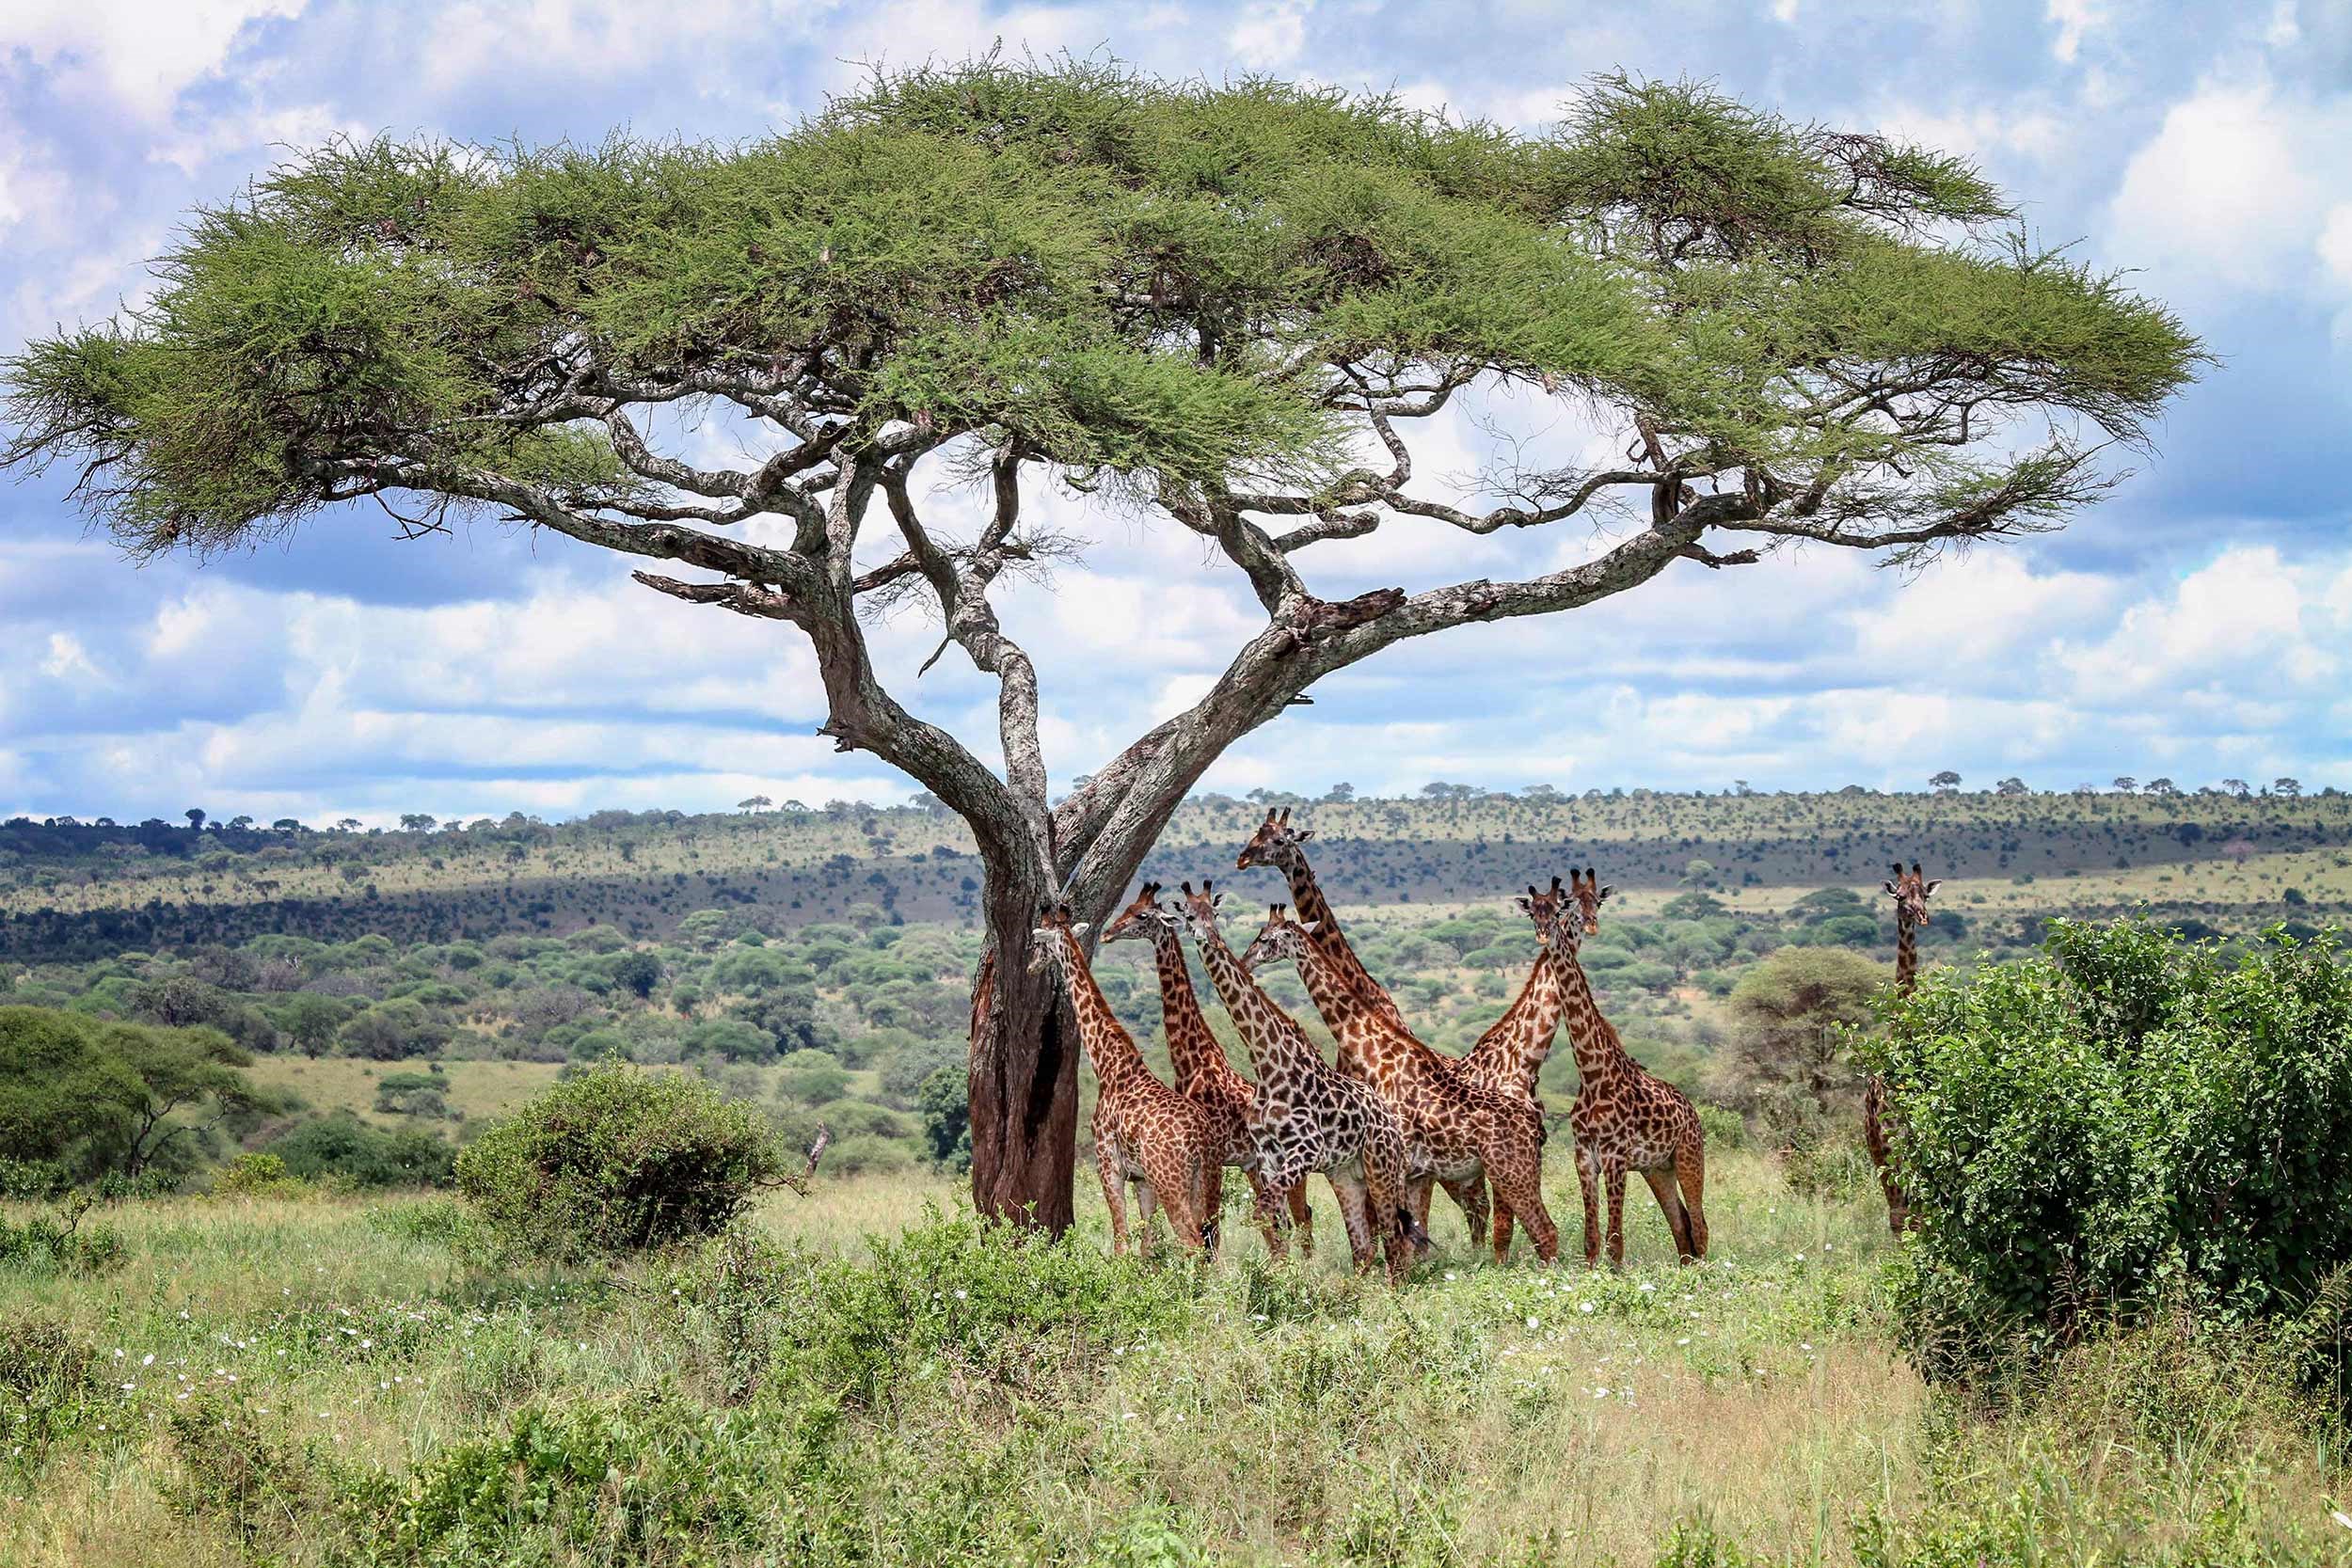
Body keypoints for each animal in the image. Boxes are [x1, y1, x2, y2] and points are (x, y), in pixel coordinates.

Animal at [1026, 902, 1219, 1258]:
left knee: (1193, 1243)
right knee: (1211, 1243)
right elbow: (1147, 1246)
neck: (1108, 1063)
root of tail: (1201, 1137)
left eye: (1041, 944)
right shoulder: (1141, 1179)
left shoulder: (1108, 1165)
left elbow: (1121, 1241)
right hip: (1206, 1180)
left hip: (1170, 1180)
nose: (1032, 966)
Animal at [1102, 881, 1316, 1261]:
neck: (1194, 1060)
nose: (1108, 933)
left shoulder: (1214, 1157)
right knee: (1280, 1223)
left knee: (1299, 1216)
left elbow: (1209, 1228)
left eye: (1141, 916)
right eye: (1126, 909)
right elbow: (1208, 1229)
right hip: (1255, 1167)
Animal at [1171, 880, 1426, 1284]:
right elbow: (1275, 1226)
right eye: (1189, 915)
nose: (1207, 936)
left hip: (1381, 1168)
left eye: (1215, 912)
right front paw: (1278, 1283)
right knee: (1363, 1248)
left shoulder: (1305, 1150)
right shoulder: (1267, 1157)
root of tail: (1390, 1122)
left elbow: (1266, 1216)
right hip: (1345, 1175)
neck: (1267, 1064)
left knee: (1393, 1235)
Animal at [1243, 905, 1558, 1266]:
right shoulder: (1413, 1171)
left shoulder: (1401, 1162)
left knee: (1538, 1229)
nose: (1245, 961)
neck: (1374, 1053)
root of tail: (1534, 1121)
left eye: (1264, 938)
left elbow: (1400, 1236)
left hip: (1506, 1171)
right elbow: (1411, 1236)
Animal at [1550, 869, 1710, 1268]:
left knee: (1700, 1225)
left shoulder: (1616, 1156)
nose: (1591, 925)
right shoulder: (1584, 1157)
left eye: (1597, 901)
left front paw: (1615, 1275)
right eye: (1570, 904)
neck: (1591, 1073)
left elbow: (1615, 1240)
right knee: (1682, 1226)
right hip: (1658, 1169)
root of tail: (1693, 1112)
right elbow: (1592, 1240)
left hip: (1689, 1157)